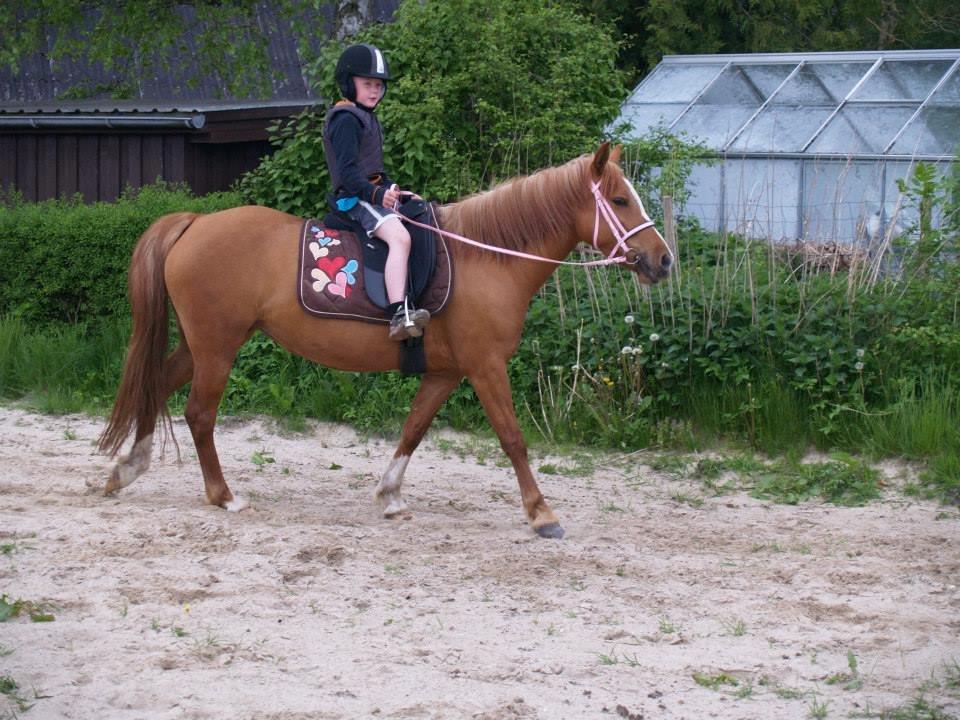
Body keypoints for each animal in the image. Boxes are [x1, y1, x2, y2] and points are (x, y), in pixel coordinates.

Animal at [95, 141, 668, 536]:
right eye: (620, 199)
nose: (662, 260)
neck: (486, 257)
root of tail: (194, 223)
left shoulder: (445, 372)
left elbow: (413, 430)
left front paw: (390, 495)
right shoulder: (485, 367)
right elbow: (512, 438)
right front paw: (542, 512)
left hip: (200, 345)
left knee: (156, 385)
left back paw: (127, 469)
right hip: (217, 347)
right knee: (199, 414)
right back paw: (222, 494)